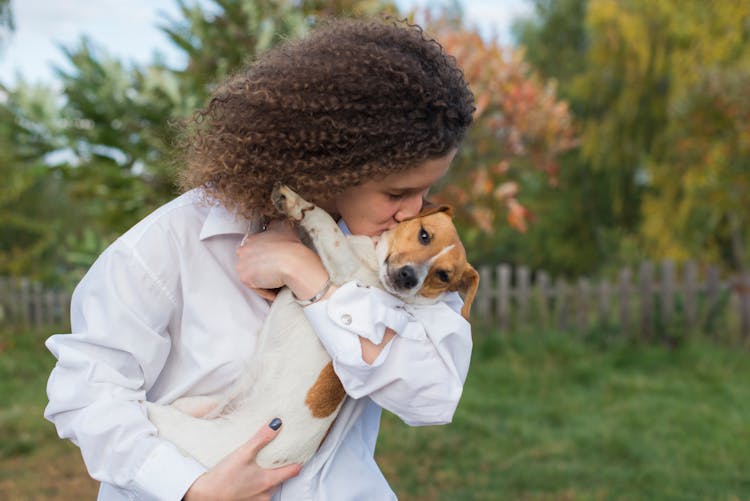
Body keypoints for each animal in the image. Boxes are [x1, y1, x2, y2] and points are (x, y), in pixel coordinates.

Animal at [144, 185, 478, 468]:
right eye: (424, 235)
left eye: (444, 276)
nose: (409, 277)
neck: (370, 261)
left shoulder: (343, 267)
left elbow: (324, 221)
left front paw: (296, 201)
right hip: (192, 404)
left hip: (183, 427)